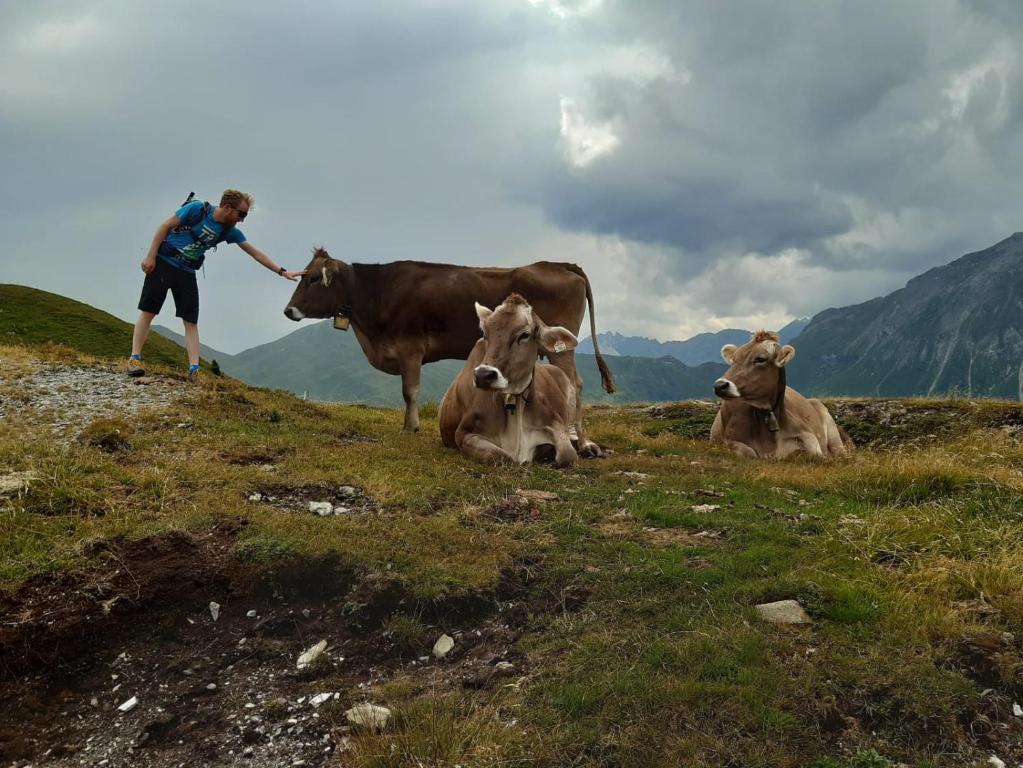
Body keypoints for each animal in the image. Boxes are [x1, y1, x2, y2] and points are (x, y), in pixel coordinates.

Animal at [439, 296, 585, 468]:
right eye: (485, 334)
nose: (482, 375)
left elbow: (568, 455)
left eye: (524, 335)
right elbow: (503, 456)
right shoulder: (464, 433)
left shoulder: (555, 422)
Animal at [707, 329, 851, 456]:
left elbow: (816, 452)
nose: (720, 385)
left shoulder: (806, 433)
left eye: (760, 359)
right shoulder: (726, 441)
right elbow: (748, 451)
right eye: (734, 360)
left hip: (832, 431)